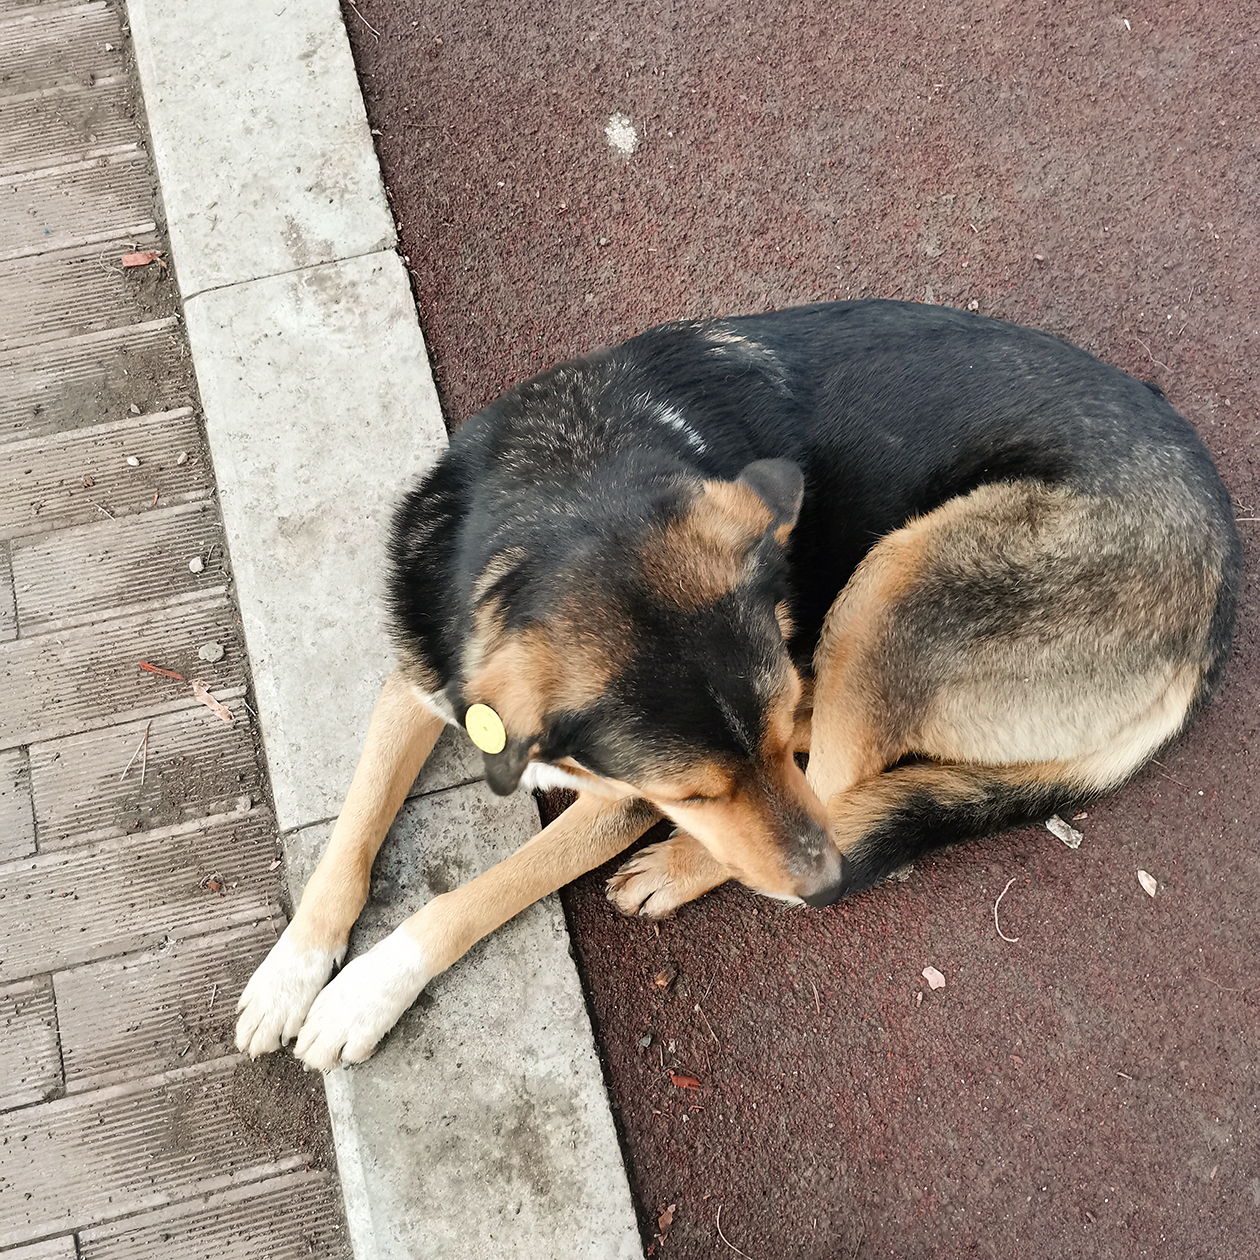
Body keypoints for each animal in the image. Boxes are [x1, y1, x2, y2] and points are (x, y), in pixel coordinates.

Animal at [234, 299, 1239, 1068]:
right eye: (694, 790)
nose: (828, 892)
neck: (574, 489)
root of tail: (1220, 590)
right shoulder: (420, 680)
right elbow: (351, 833)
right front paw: (293, 971)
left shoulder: (625, 797)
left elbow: (482, 892)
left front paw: (365, 993)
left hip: (897, 581)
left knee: (840, 780)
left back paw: (685, 868)